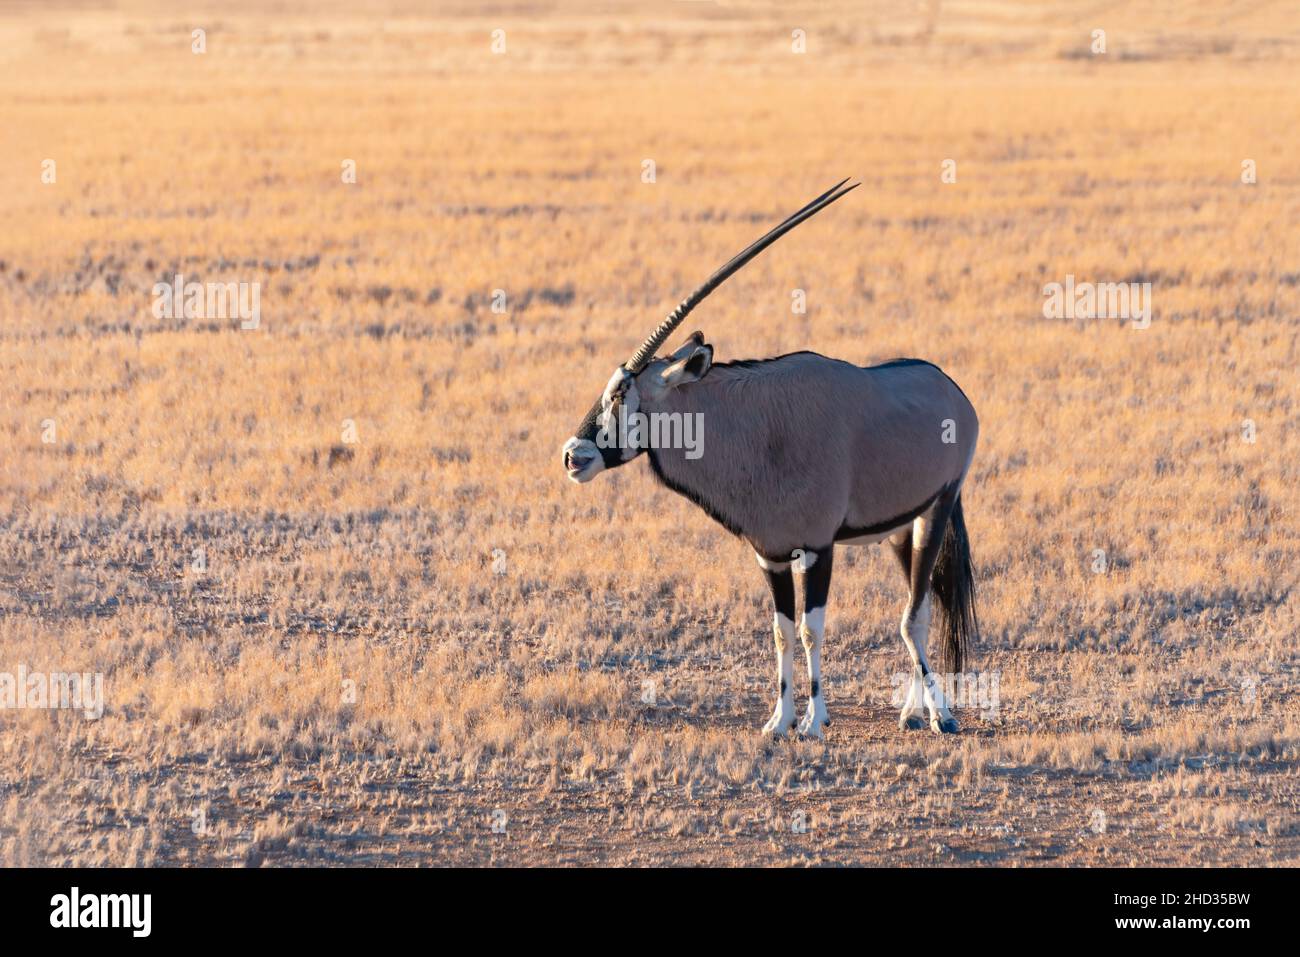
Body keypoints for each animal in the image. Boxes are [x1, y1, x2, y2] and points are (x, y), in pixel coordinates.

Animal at [564, 180, 977, 738]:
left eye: (622, 393)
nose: (573, 456)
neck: (757, 433)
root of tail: (951, 389)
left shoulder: (819, 548)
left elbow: (810, 629)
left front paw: (815, 721)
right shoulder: (771, 554)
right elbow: (782, 632)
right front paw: (779, 721)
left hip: (937, 509)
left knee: (915, 616)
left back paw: (941, 714)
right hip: (900, 528)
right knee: (920, 605)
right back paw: (913, 710)